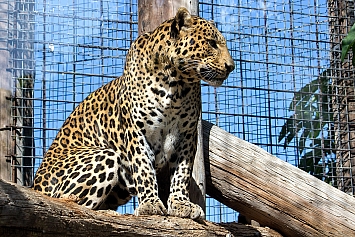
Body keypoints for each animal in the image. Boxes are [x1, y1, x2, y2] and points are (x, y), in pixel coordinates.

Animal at [32, 6, 235, 220]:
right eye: (212, 43)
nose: (231, 66)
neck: (175, 85)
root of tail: (36, 186)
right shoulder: (136, 131)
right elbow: (143, 168)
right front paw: (150, 204)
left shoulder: (186, 135)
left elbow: (182, 173)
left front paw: (181, 203)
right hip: (103, 156)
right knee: (73, 205)